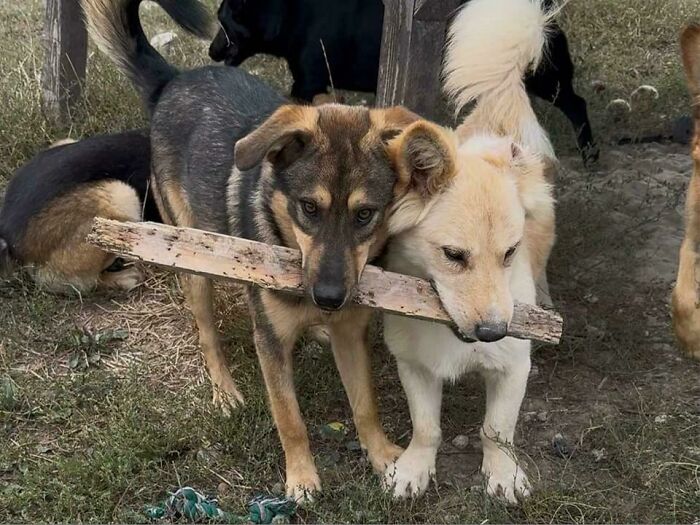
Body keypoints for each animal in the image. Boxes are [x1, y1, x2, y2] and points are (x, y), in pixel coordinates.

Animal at [82, 0, 422, 502]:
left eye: (366, 214)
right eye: (308, 208)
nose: (328, 298)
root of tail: (174, 81)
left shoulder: (352, 333)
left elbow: (365, 404)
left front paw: (383, 457)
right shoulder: (272, 342)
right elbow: (289, 416)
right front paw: (301, 478)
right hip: (194, 261)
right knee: (207, 334)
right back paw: (224, 389)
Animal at [211, 0, 600, 164]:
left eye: (224, 19)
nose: (212, 51)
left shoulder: (308, 82)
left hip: (543, 77)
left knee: (577, 104)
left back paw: (590, 154)